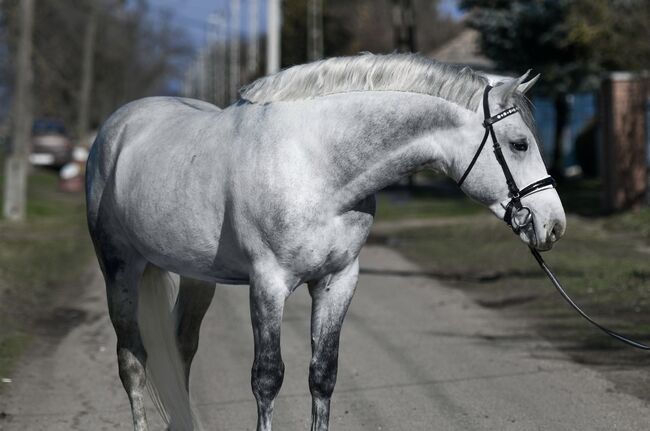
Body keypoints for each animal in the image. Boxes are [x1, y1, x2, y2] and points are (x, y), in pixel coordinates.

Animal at [85, 52, 560, 430]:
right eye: (519, 144)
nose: (553, 224)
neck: (316, 163)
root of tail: (117, 127)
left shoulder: (338, 281)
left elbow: (323, 376)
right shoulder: (268, 285)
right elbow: (267, 378)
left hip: (197, 276)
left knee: (180, 350)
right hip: (119, 270)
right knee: (132, 361)